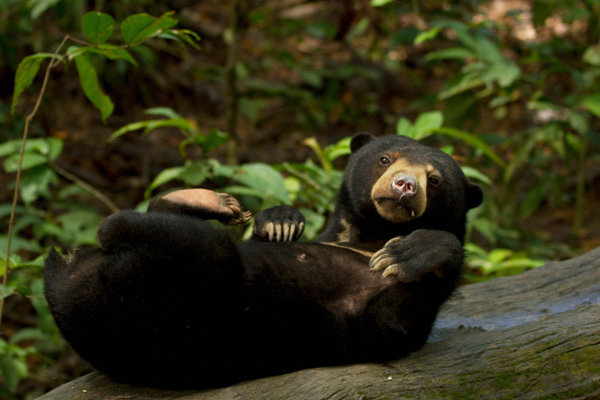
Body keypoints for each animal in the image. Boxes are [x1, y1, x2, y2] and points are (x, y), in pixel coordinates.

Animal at [43, 133, 482, 390]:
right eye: (386, 159)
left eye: (435, 180)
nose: (405, 186)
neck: (366, 235)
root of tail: (61, 278)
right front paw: (280, 221)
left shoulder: (381, 319)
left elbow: (397, 311)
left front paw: (403, 253)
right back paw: (214, 200)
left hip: (164, 294)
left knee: (118, 226)